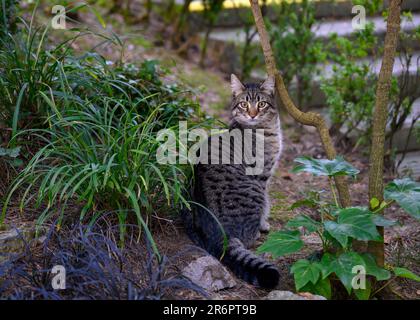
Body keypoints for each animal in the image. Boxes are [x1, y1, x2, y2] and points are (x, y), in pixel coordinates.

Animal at [183, 74, 284, 288]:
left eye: (261, 104)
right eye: (244, 104)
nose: (252, 115)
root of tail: (219, 234)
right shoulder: (263, 176)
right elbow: (266, 201)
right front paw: (263, 224)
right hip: (253, 191)